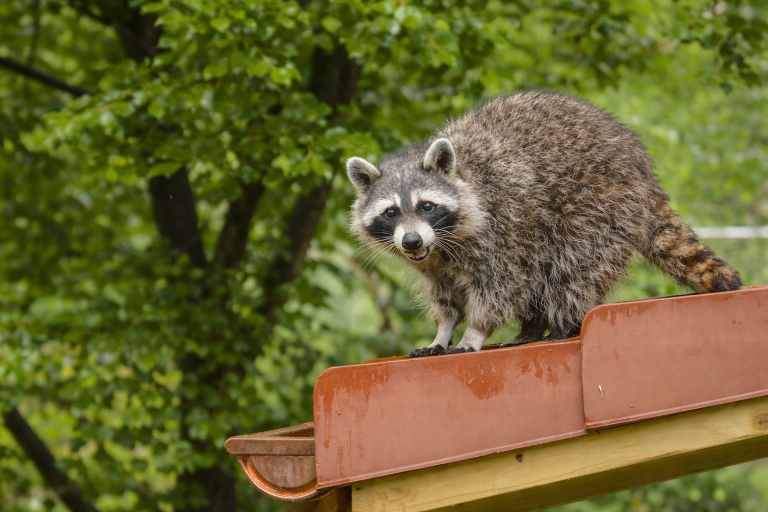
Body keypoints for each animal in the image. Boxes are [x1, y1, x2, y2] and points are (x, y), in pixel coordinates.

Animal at [346, 91, 742, 357]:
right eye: (391, 213)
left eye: (426, 206)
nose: (411, 241)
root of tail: (644, 174)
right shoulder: (433, 263)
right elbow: (445, 295)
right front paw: (442, 331)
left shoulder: (504, 224)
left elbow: (499, 287)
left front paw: (474, 331)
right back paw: (532, 328)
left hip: (599, 206)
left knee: (570, 266)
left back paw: (562, 325)